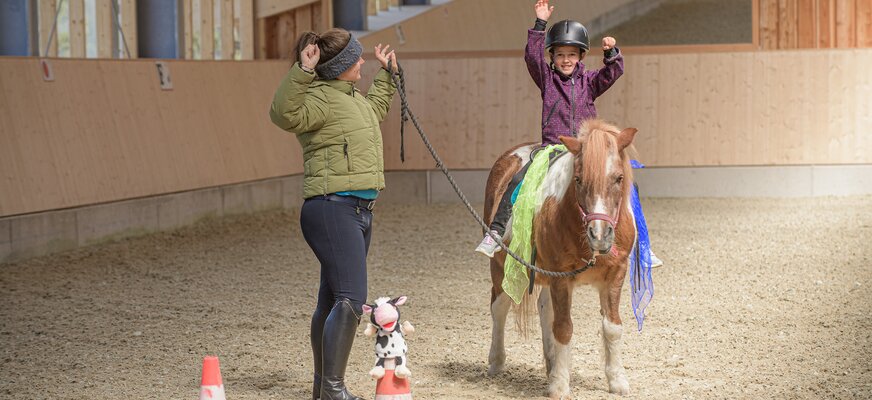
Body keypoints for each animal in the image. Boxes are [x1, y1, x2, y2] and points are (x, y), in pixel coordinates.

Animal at [488, 119, 636, 396]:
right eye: (578, 179)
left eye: (619, 178)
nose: (600, 235)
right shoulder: (561, 277)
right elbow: (564, 328)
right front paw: (559, 386)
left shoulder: (616, 274)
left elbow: (612, 327)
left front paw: (617, 381)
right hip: (500, 266)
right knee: (499, 308)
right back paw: (496, 361)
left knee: (545, 311)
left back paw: (551, 363)